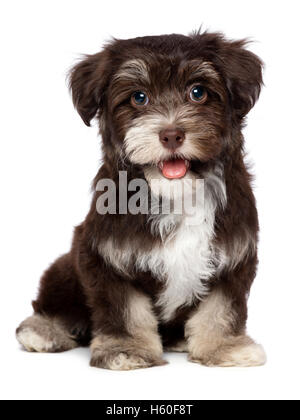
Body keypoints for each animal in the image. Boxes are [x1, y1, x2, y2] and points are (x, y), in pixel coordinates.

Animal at [15, 31, 268, 370]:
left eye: (197, 92)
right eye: (139, 98)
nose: (171, 134)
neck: (176, 194)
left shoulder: (234, 255)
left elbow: (222, 306)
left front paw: (224, 347)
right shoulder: (107, 257)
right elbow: (124, 309)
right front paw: (126, 348)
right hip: (66, 265)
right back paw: (43, 329)